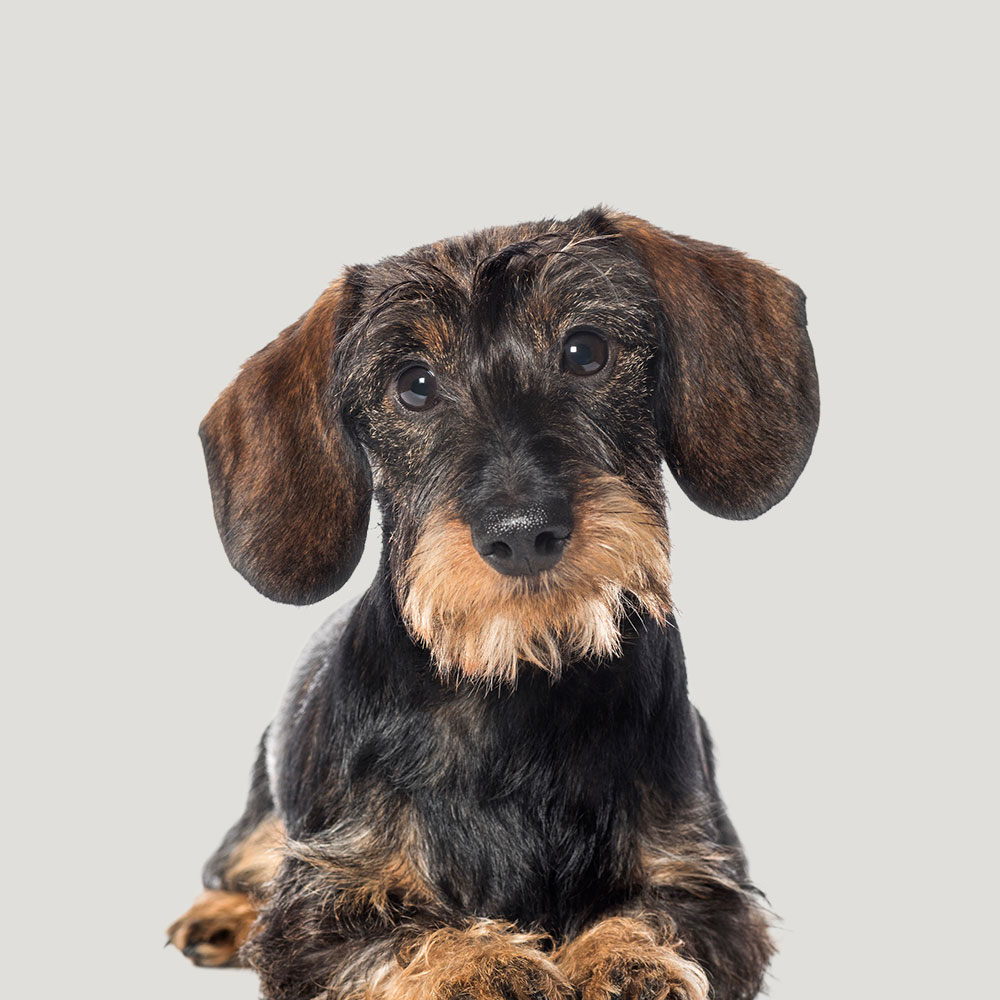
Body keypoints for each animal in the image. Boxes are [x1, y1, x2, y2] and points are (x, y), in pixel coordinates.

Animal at [167, 207, 819, 1000]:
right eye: (414, 384)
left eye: (585, 350)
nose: (523, 533)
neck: (517, 681)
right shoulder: (319, 906)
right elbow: (401, 931)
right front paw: (482, 965)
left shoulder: (709, 882)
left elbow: (662, 913)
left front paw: (626, 959)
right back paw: (219, 916)